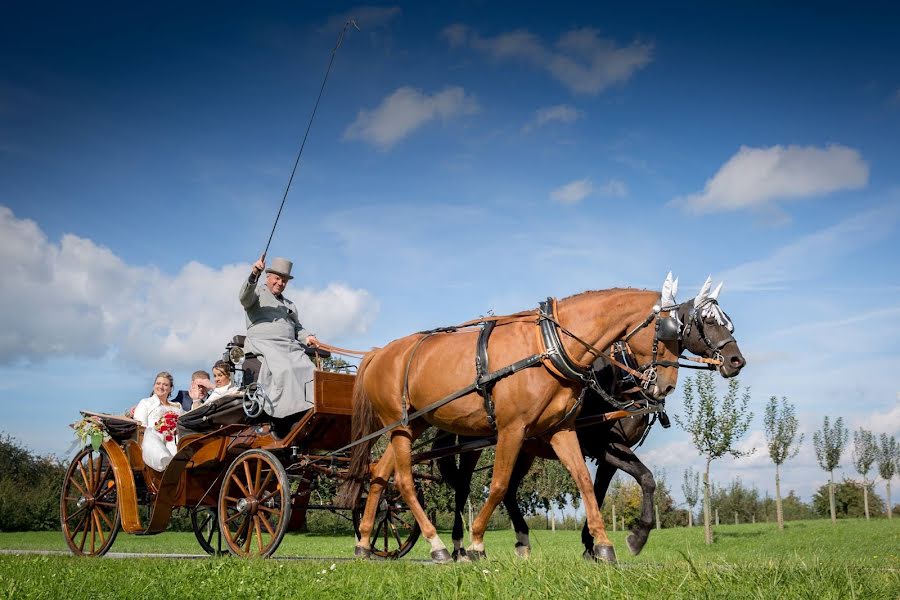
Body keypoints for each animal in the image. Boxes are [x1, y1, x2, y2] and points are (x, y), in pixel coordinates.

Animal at [342, 286, 680, 564]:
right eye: (668, 332)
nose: (665, 385)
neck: (547, 347)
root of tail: (377, 353)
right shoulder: (514, 430)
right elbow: (499, 484)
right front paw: (477, 543)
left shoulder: (562, 431)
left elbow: (585, 482)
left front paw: (603, 545)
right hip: (404, 428)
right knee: (408, 481)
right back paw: (440, 546)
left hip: (412, 426)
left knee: (380, 474)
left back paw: (364, 541)